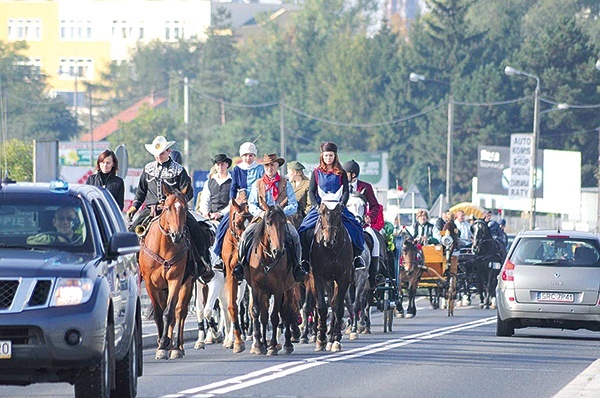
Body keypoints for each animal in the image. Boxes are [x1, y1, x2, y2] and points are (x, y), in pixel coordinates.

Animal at [138, 185, 192, 360]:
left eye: (185, 208)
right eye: (167, 208)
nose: (177, 235)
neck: (164, 245)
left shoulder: (175, 279)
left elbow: (169, 313)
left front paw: (164, 344)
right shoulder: (150, 284)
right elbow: (158, 313)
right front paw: (162, 345)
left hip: (187, 283)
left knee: (179, 312)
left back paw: (177, 347)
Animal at [246, 204, 298, 356]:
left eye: (283, 222)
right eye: (268, 223)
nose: (278, 251)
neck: (267, 259)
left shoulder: (278, 289)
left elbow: (275, 316)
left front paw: (273, 346)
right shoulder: (256, 288)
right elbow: (257, 312)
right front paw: (259, 345)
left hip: (289, 289)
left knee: (286, 312)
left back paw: (287, 344)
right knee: (264, 315)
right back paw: (263, 343)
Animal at [308, 202, 354, 352]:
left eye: (339, 213)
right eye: (322, 212)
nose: (328, 241)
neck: (332, 250)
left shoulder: (343, 278)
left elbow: (338, 308)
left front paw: (336, 340)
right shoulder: (318, 277)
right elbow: (322, 307)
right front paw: (320, 339)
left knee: (334, 304)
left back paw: (332, 337)